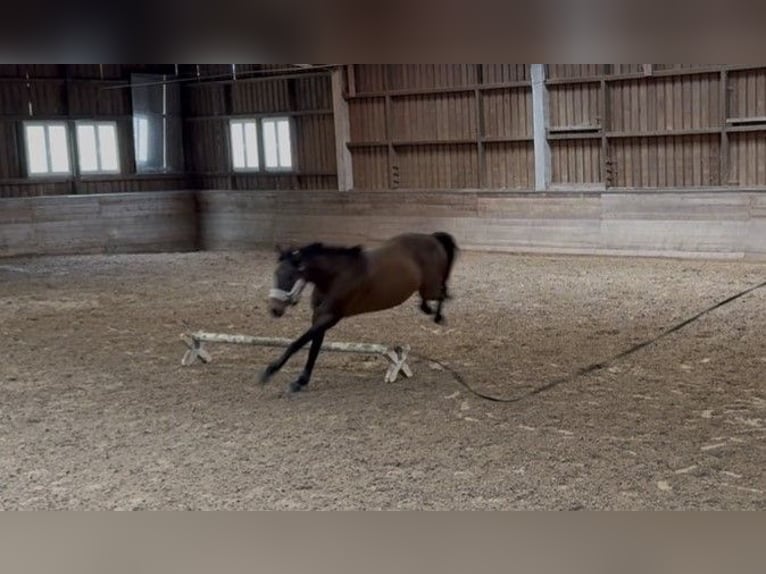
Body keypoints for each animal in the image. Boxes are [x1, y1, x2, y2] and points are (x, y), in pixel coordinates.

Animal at [259, 232, 459, 393]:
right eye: (276, 274)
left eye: (290, 276)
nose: (275, 310)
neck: (335, 276)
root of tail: (432, 238)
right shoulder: (319, 318)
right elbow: (313, 348)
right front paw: (300, 381)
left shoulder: (330, 317)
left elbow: (297, 344)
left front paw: (269, 372)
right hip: (425, 288)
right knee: (432, 298)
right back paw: (428, 310)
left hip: (430, 287)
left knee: (442, 293)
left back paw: (438, 317)